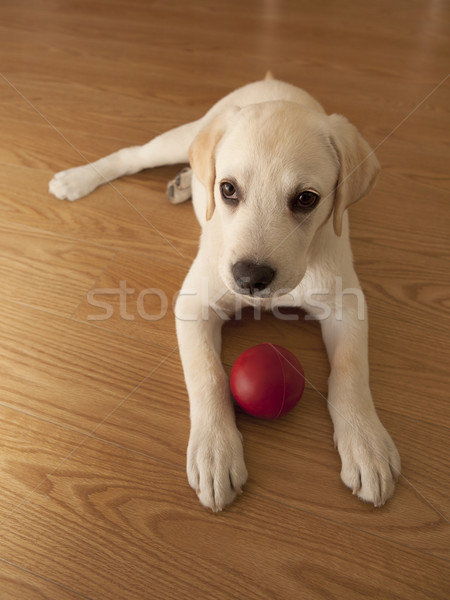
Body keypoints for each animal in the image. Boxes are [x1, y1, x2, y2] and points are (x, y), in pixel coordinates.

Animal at [50, 75, 400, 510]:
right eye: (228, 189)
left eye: (306, 199)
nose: (250, 278)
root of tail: (270, 80)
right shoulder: (194, 305)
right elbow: (208, 374)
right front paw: (214, 451)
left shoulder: (347, 303)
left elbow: (351, 370)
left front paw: (367, 444)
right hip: (180, 138)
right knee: (135, 155)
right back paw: (78, 178)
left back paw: (184, 181)